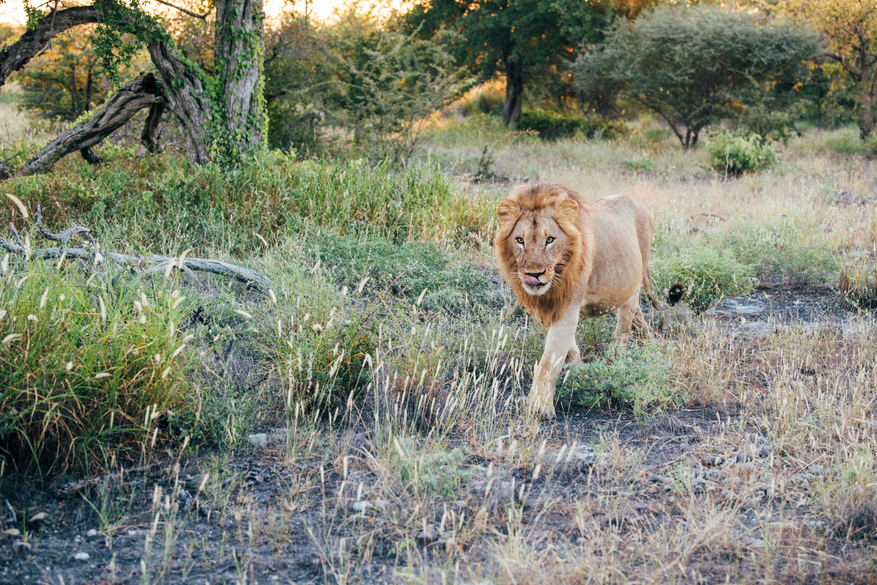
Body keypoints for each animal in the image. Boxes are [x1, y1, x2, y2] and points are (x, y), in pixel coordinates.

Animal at [496, 181, 668, 416]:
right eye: (520, 240)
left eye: (550, 240)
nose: (534, 274)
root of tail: (639, 203)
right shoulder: (548, 307)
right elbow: (567, 348)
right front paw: (577, 367)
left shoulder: (569, 306)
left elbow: (550, 358)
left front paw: (539, 406)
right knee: (638, 318)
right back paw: (650, 346)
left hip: (633, 284)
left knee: (623, 330)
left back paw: (616, 364)